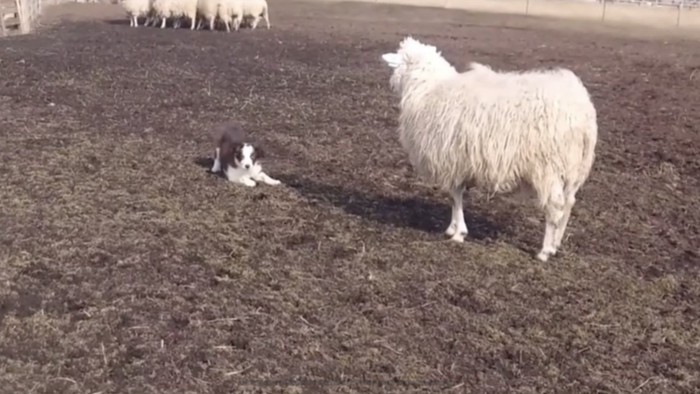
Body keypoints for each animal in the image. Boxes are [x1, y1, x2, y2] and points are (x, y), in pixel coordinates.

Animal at [380, 37, 600, 264]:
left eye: (400, 61)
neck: (427, 89)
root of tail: (582, 112)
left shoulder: (451, 159)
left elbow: (455, 196)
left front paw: (459, 233)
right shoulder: (457, 161)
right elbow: (455, 196)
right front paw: (452, 228)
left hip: (548, 167)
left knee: (555, 207)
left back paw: (545, 251)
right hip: (574, 168)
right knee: (568, 204)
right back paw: (556, 244)